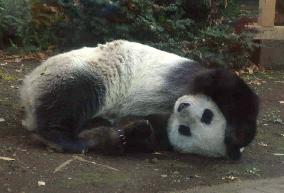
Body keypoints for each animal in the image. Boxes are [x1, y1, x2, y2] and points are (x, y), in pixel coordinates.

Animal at [20, 40, 260, 159]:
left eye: (185, 130)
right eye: (207, 115)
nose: (182, 106)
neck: (169, 107)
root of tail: (27, 93)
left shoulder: (162, 131)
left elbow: (140, 136)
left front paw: (128, 133)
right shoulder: (189, 78)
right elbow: (226, 84)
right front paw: (239, 134)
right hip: (82, 72)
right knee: (74, 96)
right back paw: (62, 138)